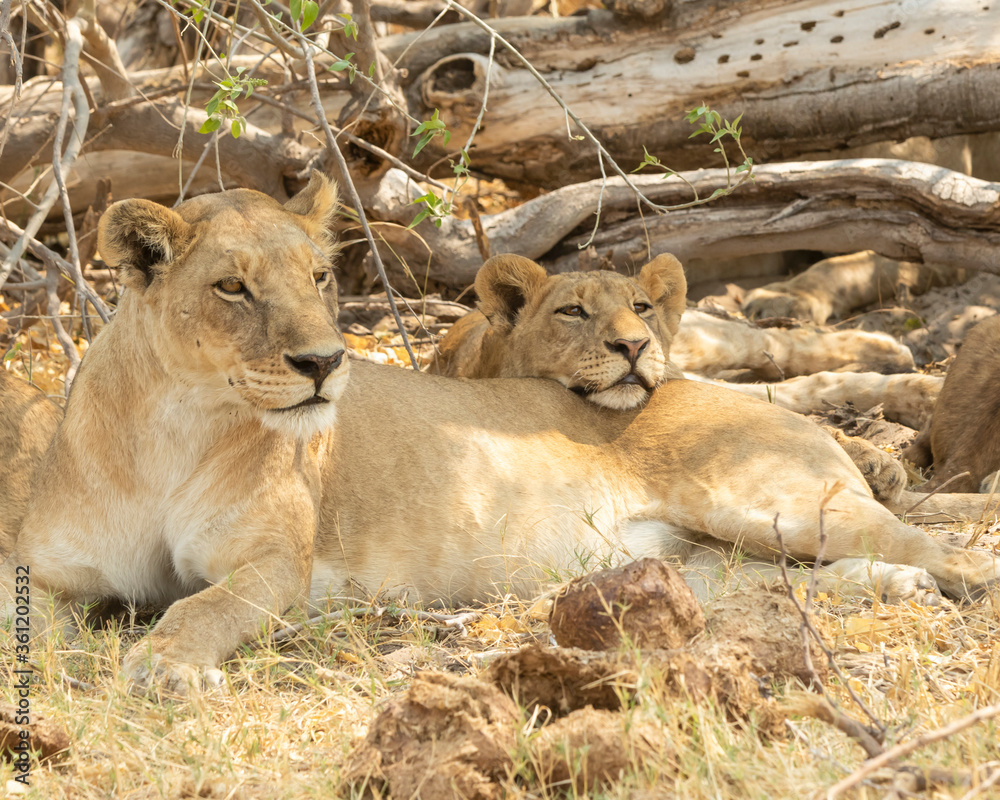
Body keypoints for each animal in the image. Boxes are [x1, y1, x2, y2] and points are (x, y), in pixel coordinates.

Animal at [3, 176, 997, 696]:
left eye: (320, 276)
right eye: (233, 288)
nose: (326, 362)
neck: (172, 430)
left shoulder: (273, 566)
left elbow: (197, 607)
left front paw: (163, 666)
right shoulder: (45, 573)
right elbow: (40, 626)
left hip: (768, 498)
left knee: (928, 542)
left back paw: (949, 576)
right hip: (693, 565)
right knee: (784, 589)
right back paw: (897, 587)